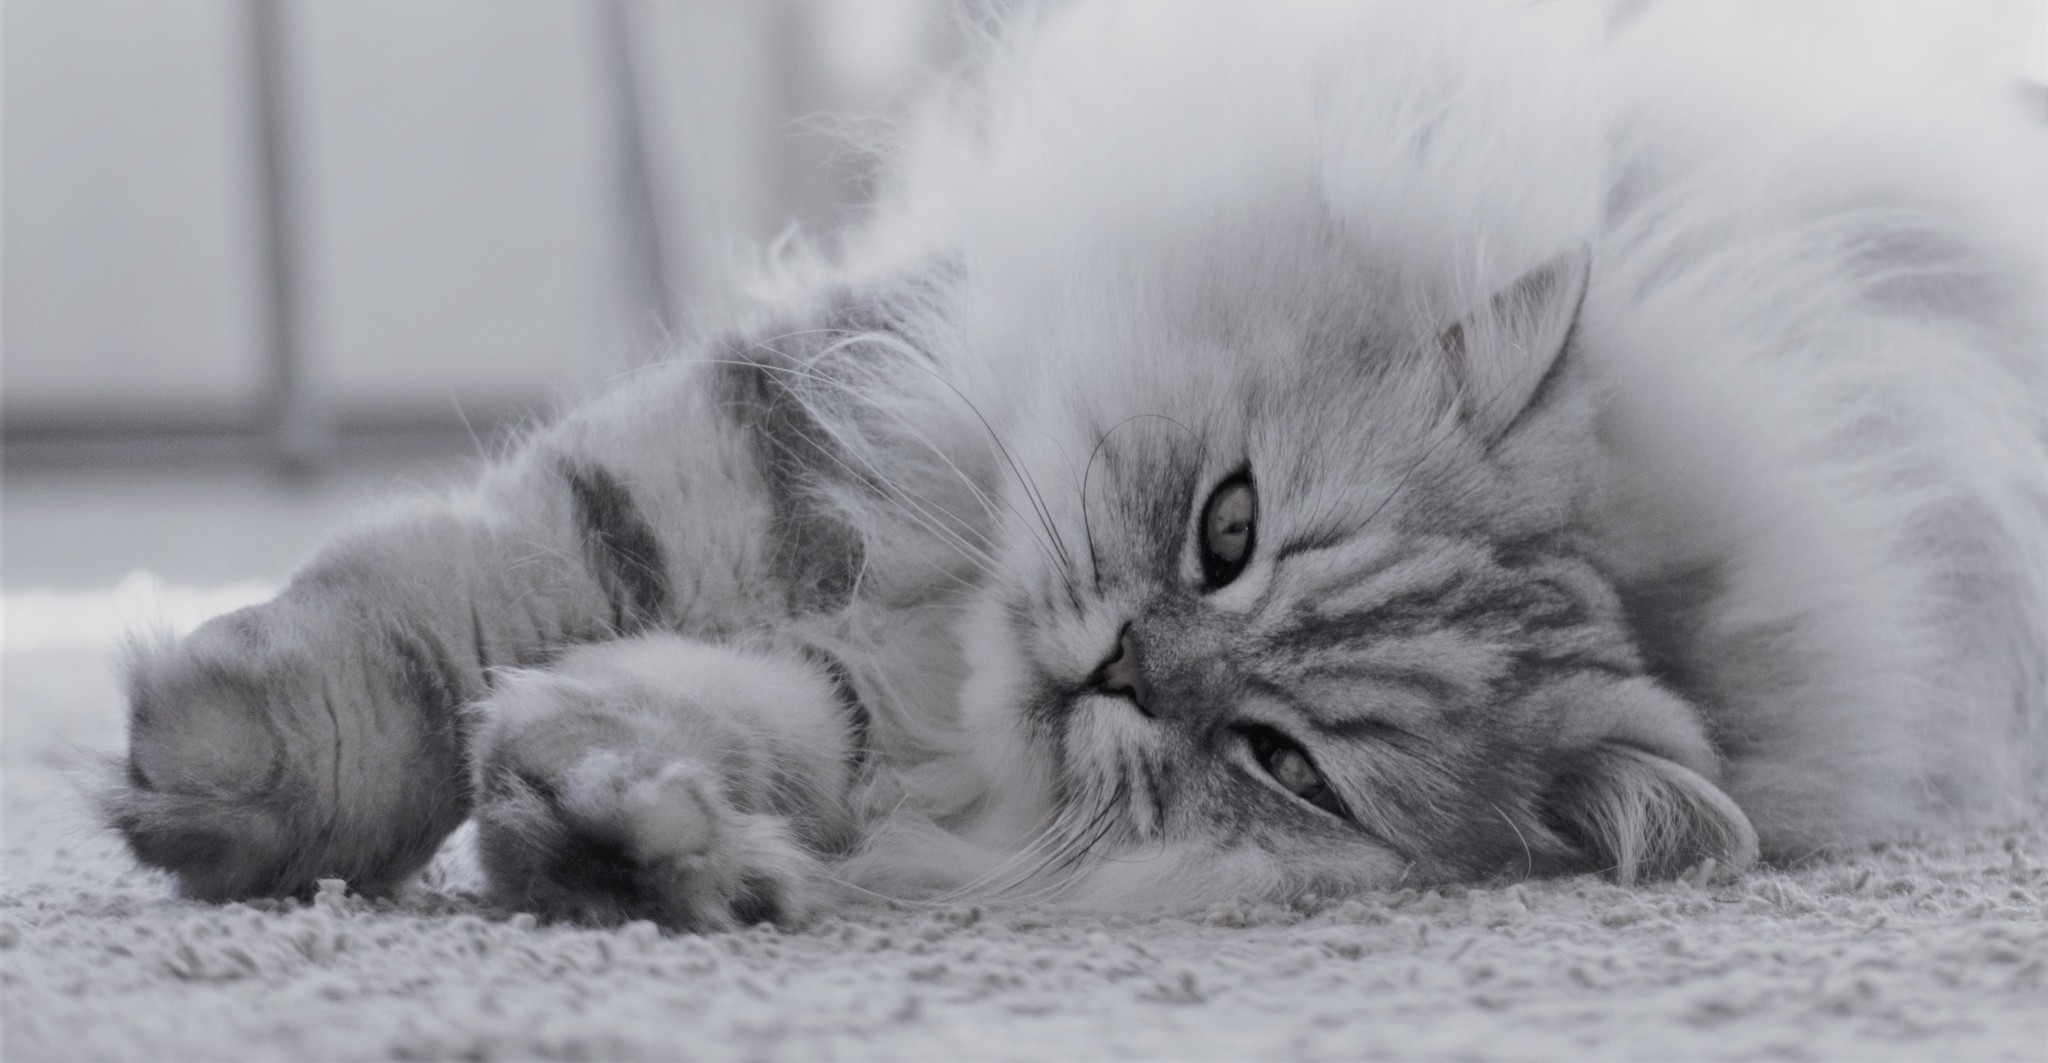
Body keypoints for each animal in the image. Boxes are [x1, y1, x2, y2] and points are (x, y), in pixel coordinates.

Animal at [108, 0, 2048, 925]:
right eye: (1227, 526)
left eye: (1277, 761)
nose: (1124, 664)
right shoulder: (794, 426)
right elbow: (453, 607)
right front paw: (227, 766)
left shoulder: (876, 713)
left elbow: (702, 727)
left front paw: (636, 837)